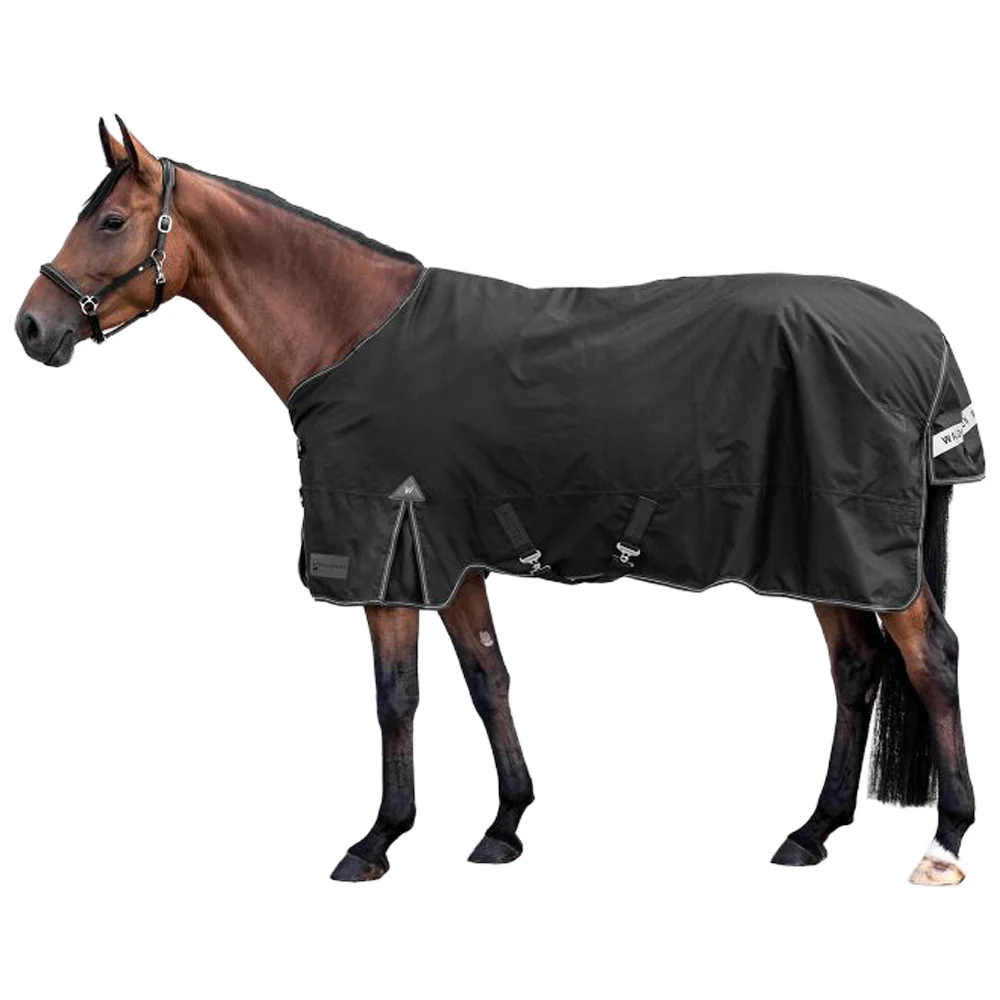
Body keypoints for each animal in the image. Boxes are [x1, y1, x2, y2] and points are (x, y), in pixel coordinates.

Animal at [15, 118, 983, 885]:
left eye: (109, 220)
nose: (31, 327)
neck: (350, 333)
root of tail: (923, 338)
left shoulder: (390, 557)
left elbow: (396, 697)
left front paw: (377, 841)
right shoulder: (454, 557)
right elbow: (488, 678)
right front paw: (505, 825)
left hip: (856, 548)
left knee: (929, 659)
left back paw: (945, 841)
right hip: (823, 551)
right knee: (856, 670)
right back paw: (812, 832)